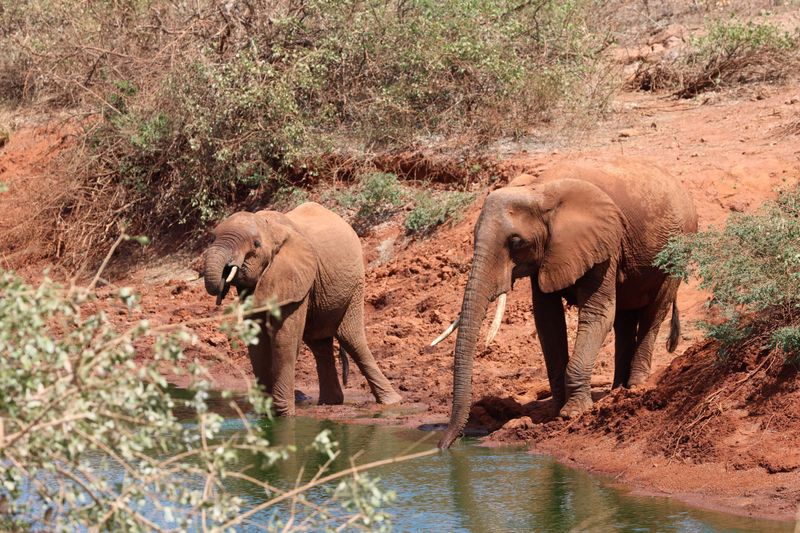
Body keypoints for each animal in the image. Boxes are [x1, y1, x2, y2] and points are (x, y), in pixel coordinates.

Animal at [200, 202, 400, 414]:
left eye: (256, 244)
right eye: (211, 239)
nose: (225, 273)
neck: (269, 227)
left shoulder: (295, 278)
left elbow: (284, 339)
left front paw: (284, 414)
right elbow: (257, 342)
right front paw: (265, 414)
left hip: (355, 286)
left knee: (351, 338)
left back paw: (391, 401)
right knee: (319, 343)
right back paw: (330, 402)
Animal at [434, 156, 696, 446]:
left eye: (516, 242)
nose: (444, 446)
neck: (539, 191)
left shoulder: (603, 243)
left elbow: (597, 313)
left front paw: (573, 413)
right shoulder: (550, 253)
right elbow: (548, 320)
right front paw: (556, 411)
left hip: (679, 250)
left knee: (654, 312)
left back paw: (635, 385)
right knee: (624, 318)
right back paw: (617, 390)